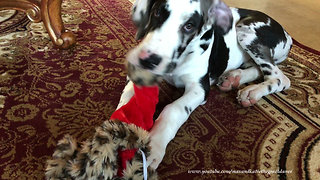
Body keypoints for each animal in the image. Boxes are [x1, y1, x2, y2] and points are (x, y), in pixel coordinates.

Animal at [117, 0, 292, 169]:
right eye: (157, 12)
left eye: (189, 26)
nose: (147, 60)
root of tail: (287, 34)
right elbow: (127, 99)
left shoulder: (199, 88)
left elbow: (173, 109)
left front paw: (155, 145)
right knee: (258, 69)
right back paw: (234, 78)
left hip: (247, 31)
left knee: (280, 78)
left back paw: (253, 92)